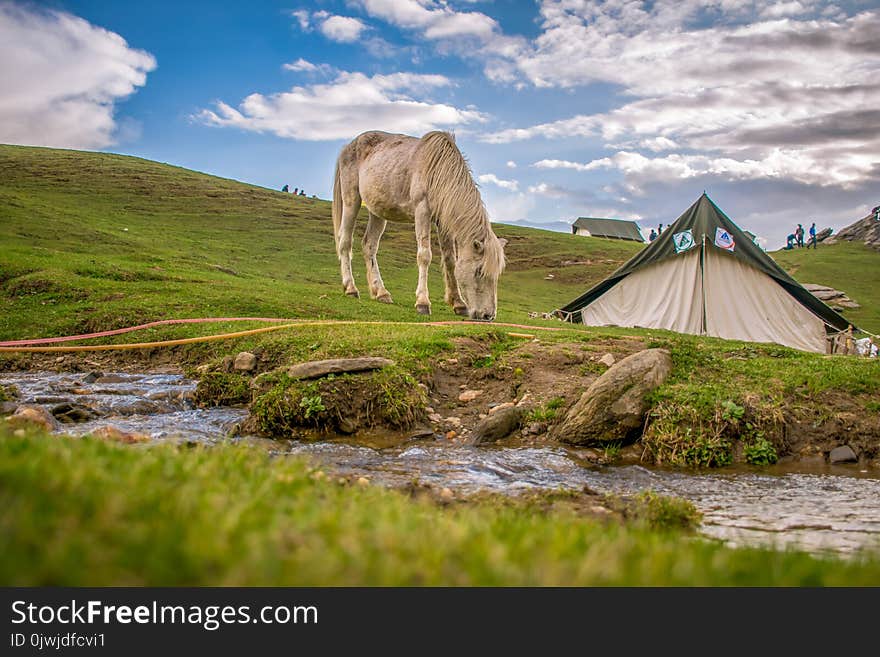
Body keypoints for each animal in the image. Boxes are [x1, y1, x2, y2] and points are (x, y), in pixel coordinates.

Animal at [332, 129, 508, 320]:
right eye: (479, 271)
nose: (488, 315)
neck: (438, 169)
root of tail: (347, 147)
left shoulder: (442, 221)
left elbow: (450, 260)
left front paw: (458, 303)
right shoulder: (422, 210)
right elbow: (424, 256)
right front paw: (423, 302)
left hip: (377, 211)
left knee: (369, 246)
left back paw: (381, 293)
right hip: (352, 200)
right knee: (345, 242)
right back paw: (351, 288)